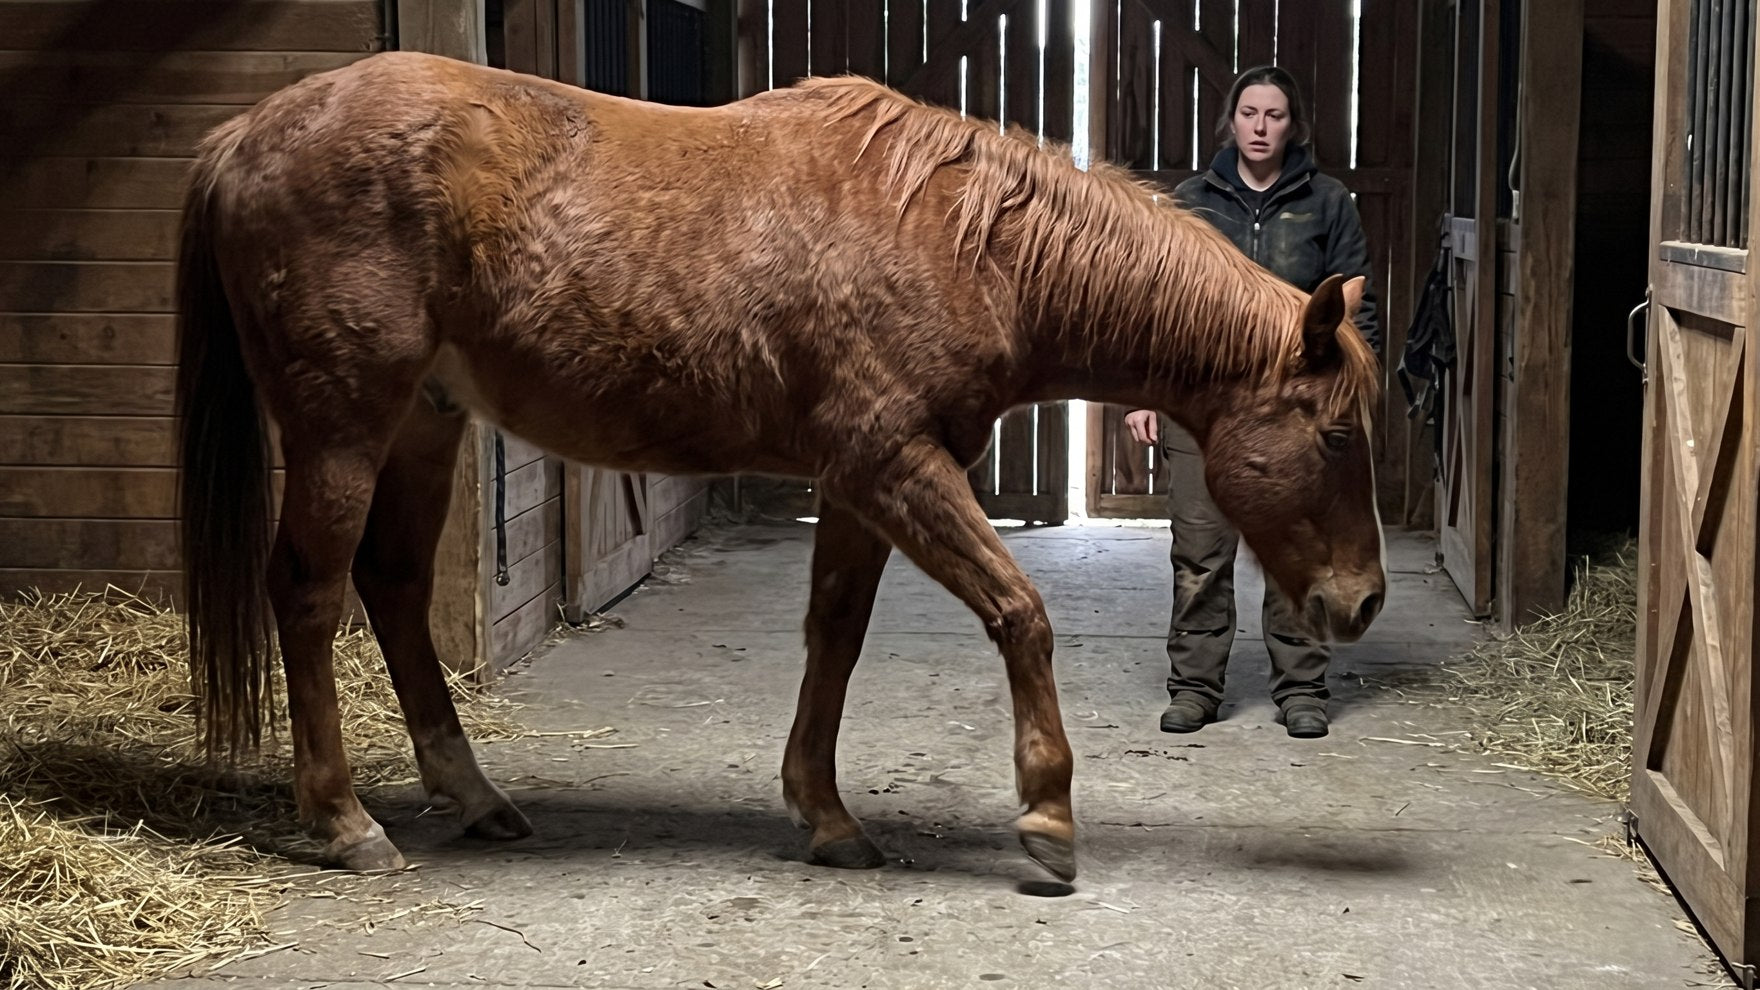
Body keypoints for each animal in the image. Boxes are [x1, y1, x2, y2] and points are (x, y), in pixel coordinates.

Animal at [175, 51, 1384, 882]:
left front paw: (827, 815)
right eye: (1335, 435)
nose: (1362, 602)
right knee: (308, 592)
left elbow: (835, 639)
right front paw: (1046, 818)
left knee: (393, 585)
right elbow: (1020, 613)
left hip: (424, 422)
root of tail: (242, 134)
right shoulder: (896, 466)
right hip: (341, 424)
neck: (963, 241)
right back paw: (344, 824)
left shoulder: (860, 482)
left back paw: (474, 798)